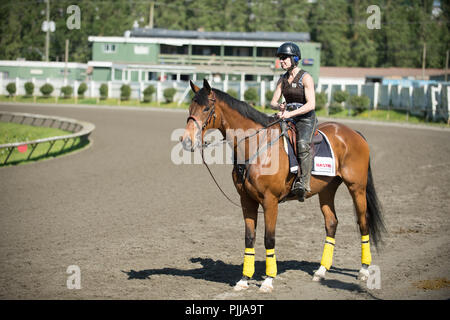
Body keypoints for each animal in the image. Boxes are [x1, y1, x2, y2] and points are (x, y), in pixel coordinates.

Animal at [181, 78, 384, 292]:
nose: (186, 140)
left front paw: (268, 280)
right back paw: (321, 271)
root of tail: (354, 133)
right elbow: (249, 238)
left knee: (363, 222)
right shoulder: (247, 201)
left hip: (357, 188)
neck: (258, 146)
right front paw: (244, 279)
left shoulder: (270, 202)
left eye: (206, 108)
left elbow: (269, 238)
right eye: (190, 107)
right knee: (331, 223)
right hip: (327, 190)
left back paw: (364, 270)